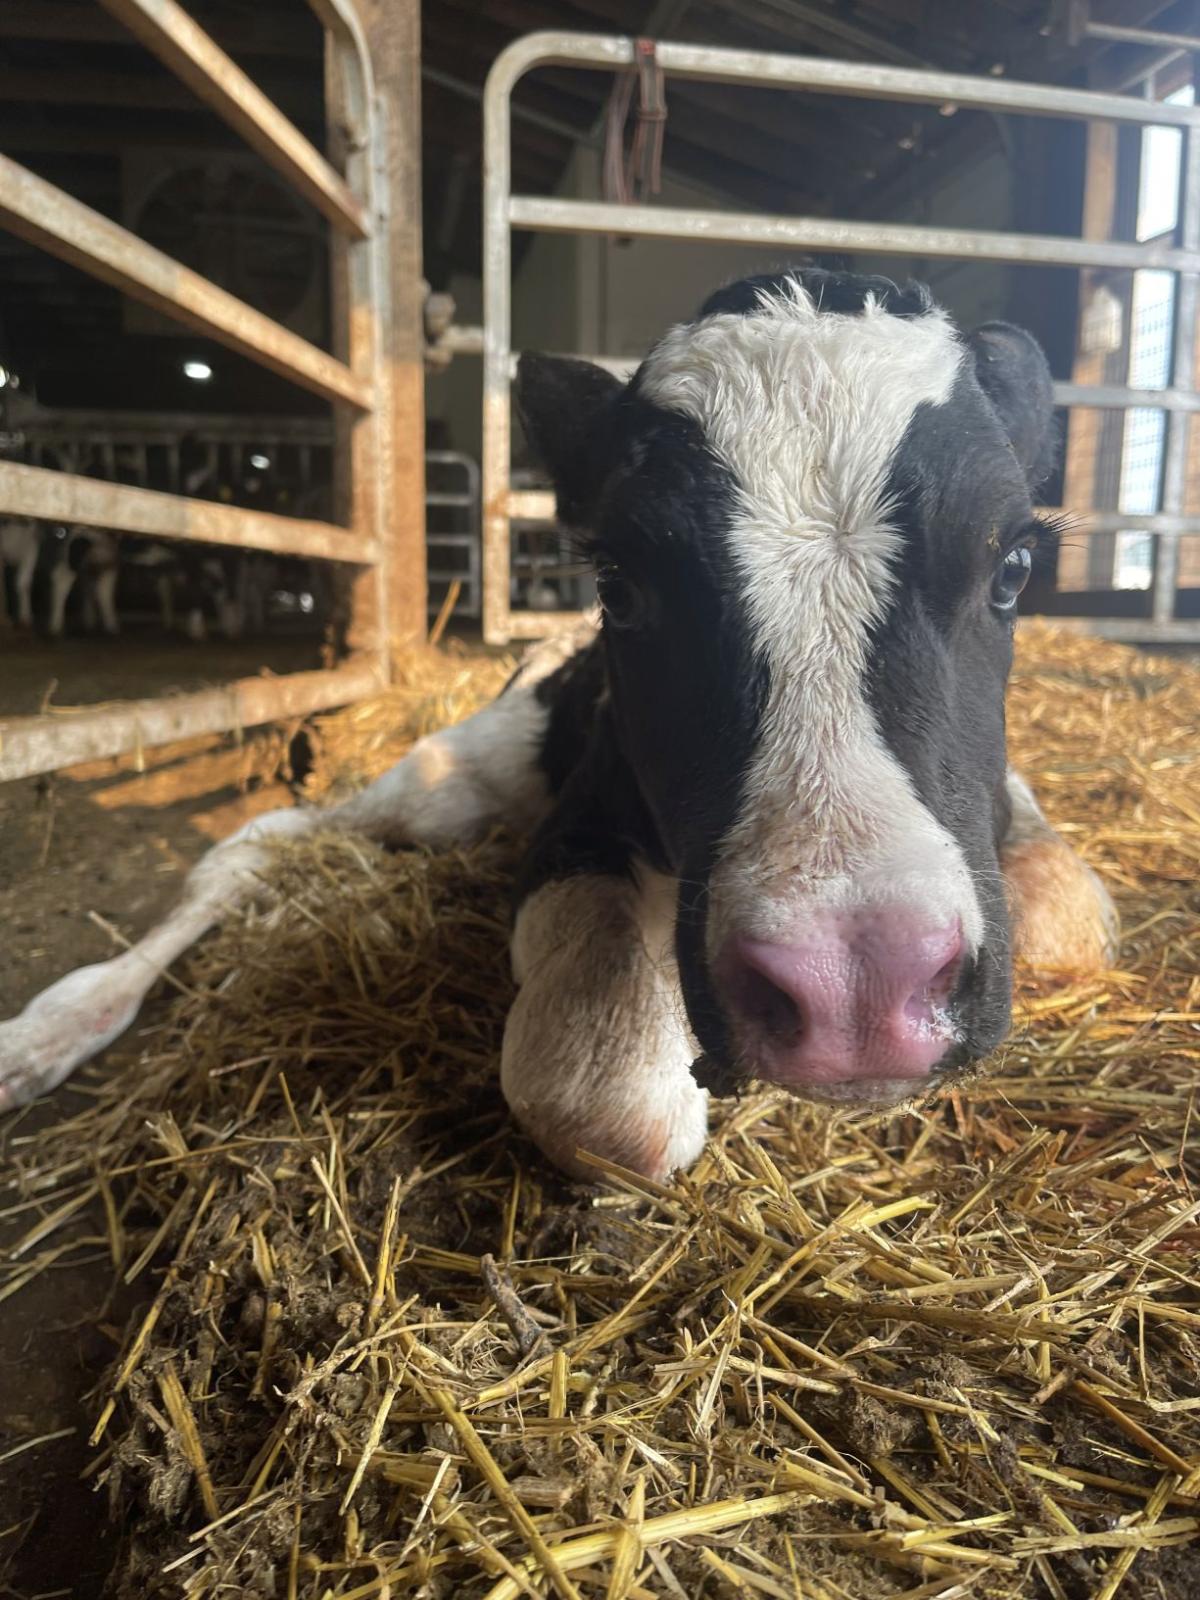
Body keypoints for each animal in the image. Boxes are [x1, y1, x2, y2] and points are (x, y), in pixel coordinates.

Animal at [0, 269, 1118, 1180]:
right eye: (619, 585)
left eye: (1014, 567)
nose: (855, 985)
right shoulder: (574, 820)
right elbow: (606, 1103)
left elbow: (1072, 921)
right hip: (456, 781)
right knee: (261, 843)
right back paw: (52, 1027)